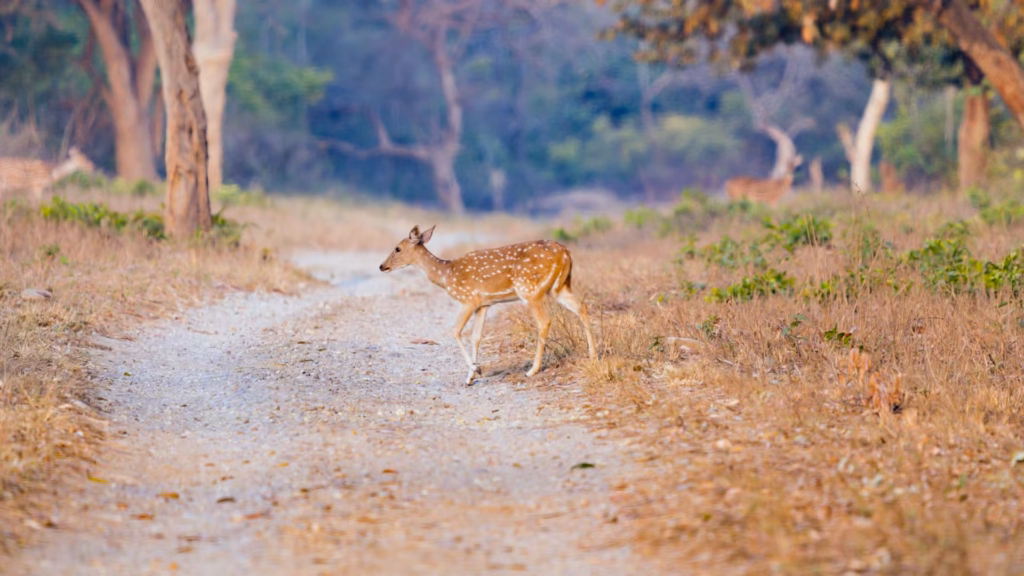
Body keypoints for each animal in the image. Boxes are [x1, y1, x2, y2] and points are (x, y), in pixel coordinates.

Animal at [379, 225, 598, 385]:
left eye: (398, 248)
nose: (382, 266)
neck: (446, 275)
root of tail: (566, 254)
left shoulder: (469, 299)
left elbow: (455, 331)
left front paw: (475, 370)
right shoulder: (484, 304)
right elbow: (476, 337)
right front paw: (471, 376)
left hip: (530, 289)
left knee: (544, 321)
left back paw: (532, 370)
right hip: (559, 287)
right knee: (582, 306)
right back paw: (593, 356)